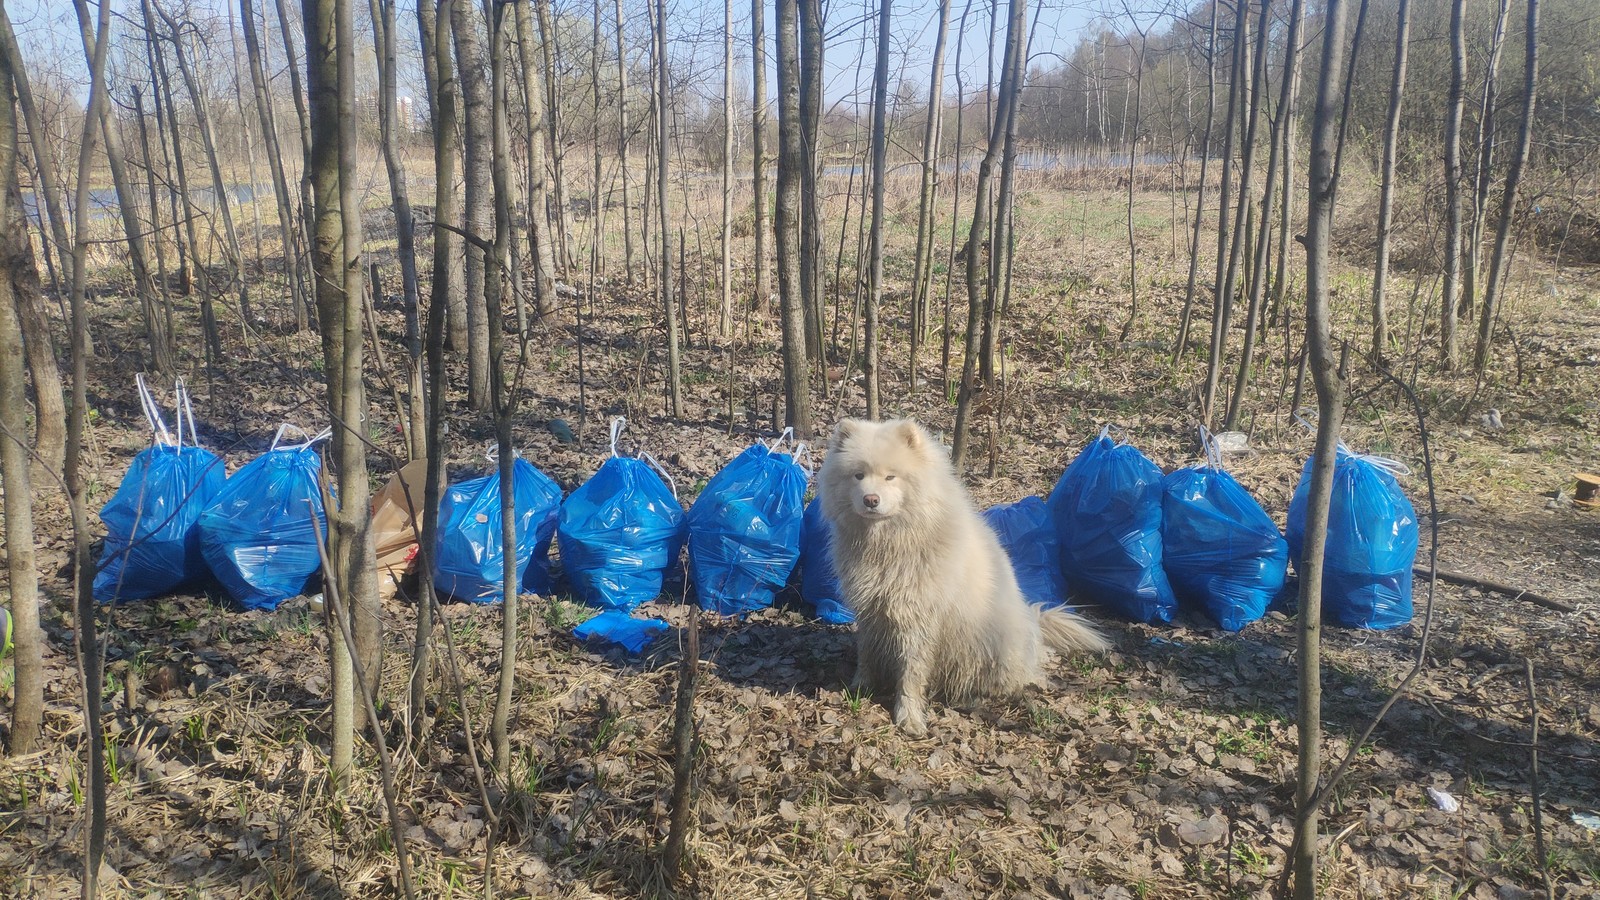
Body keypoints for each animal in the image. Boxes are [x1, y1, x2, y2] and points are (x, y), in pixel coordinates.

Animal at [819, 416, 1107, 733]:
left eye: (891, 477)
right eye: (858, 476)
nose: (871, 499)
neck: (889, 543)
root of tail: (1032, 623)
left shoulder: (918, 620)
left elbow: (912, 673)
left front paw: (909, 716)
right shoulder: (871, 611)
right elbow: (866, 653)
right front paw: (860, 687)